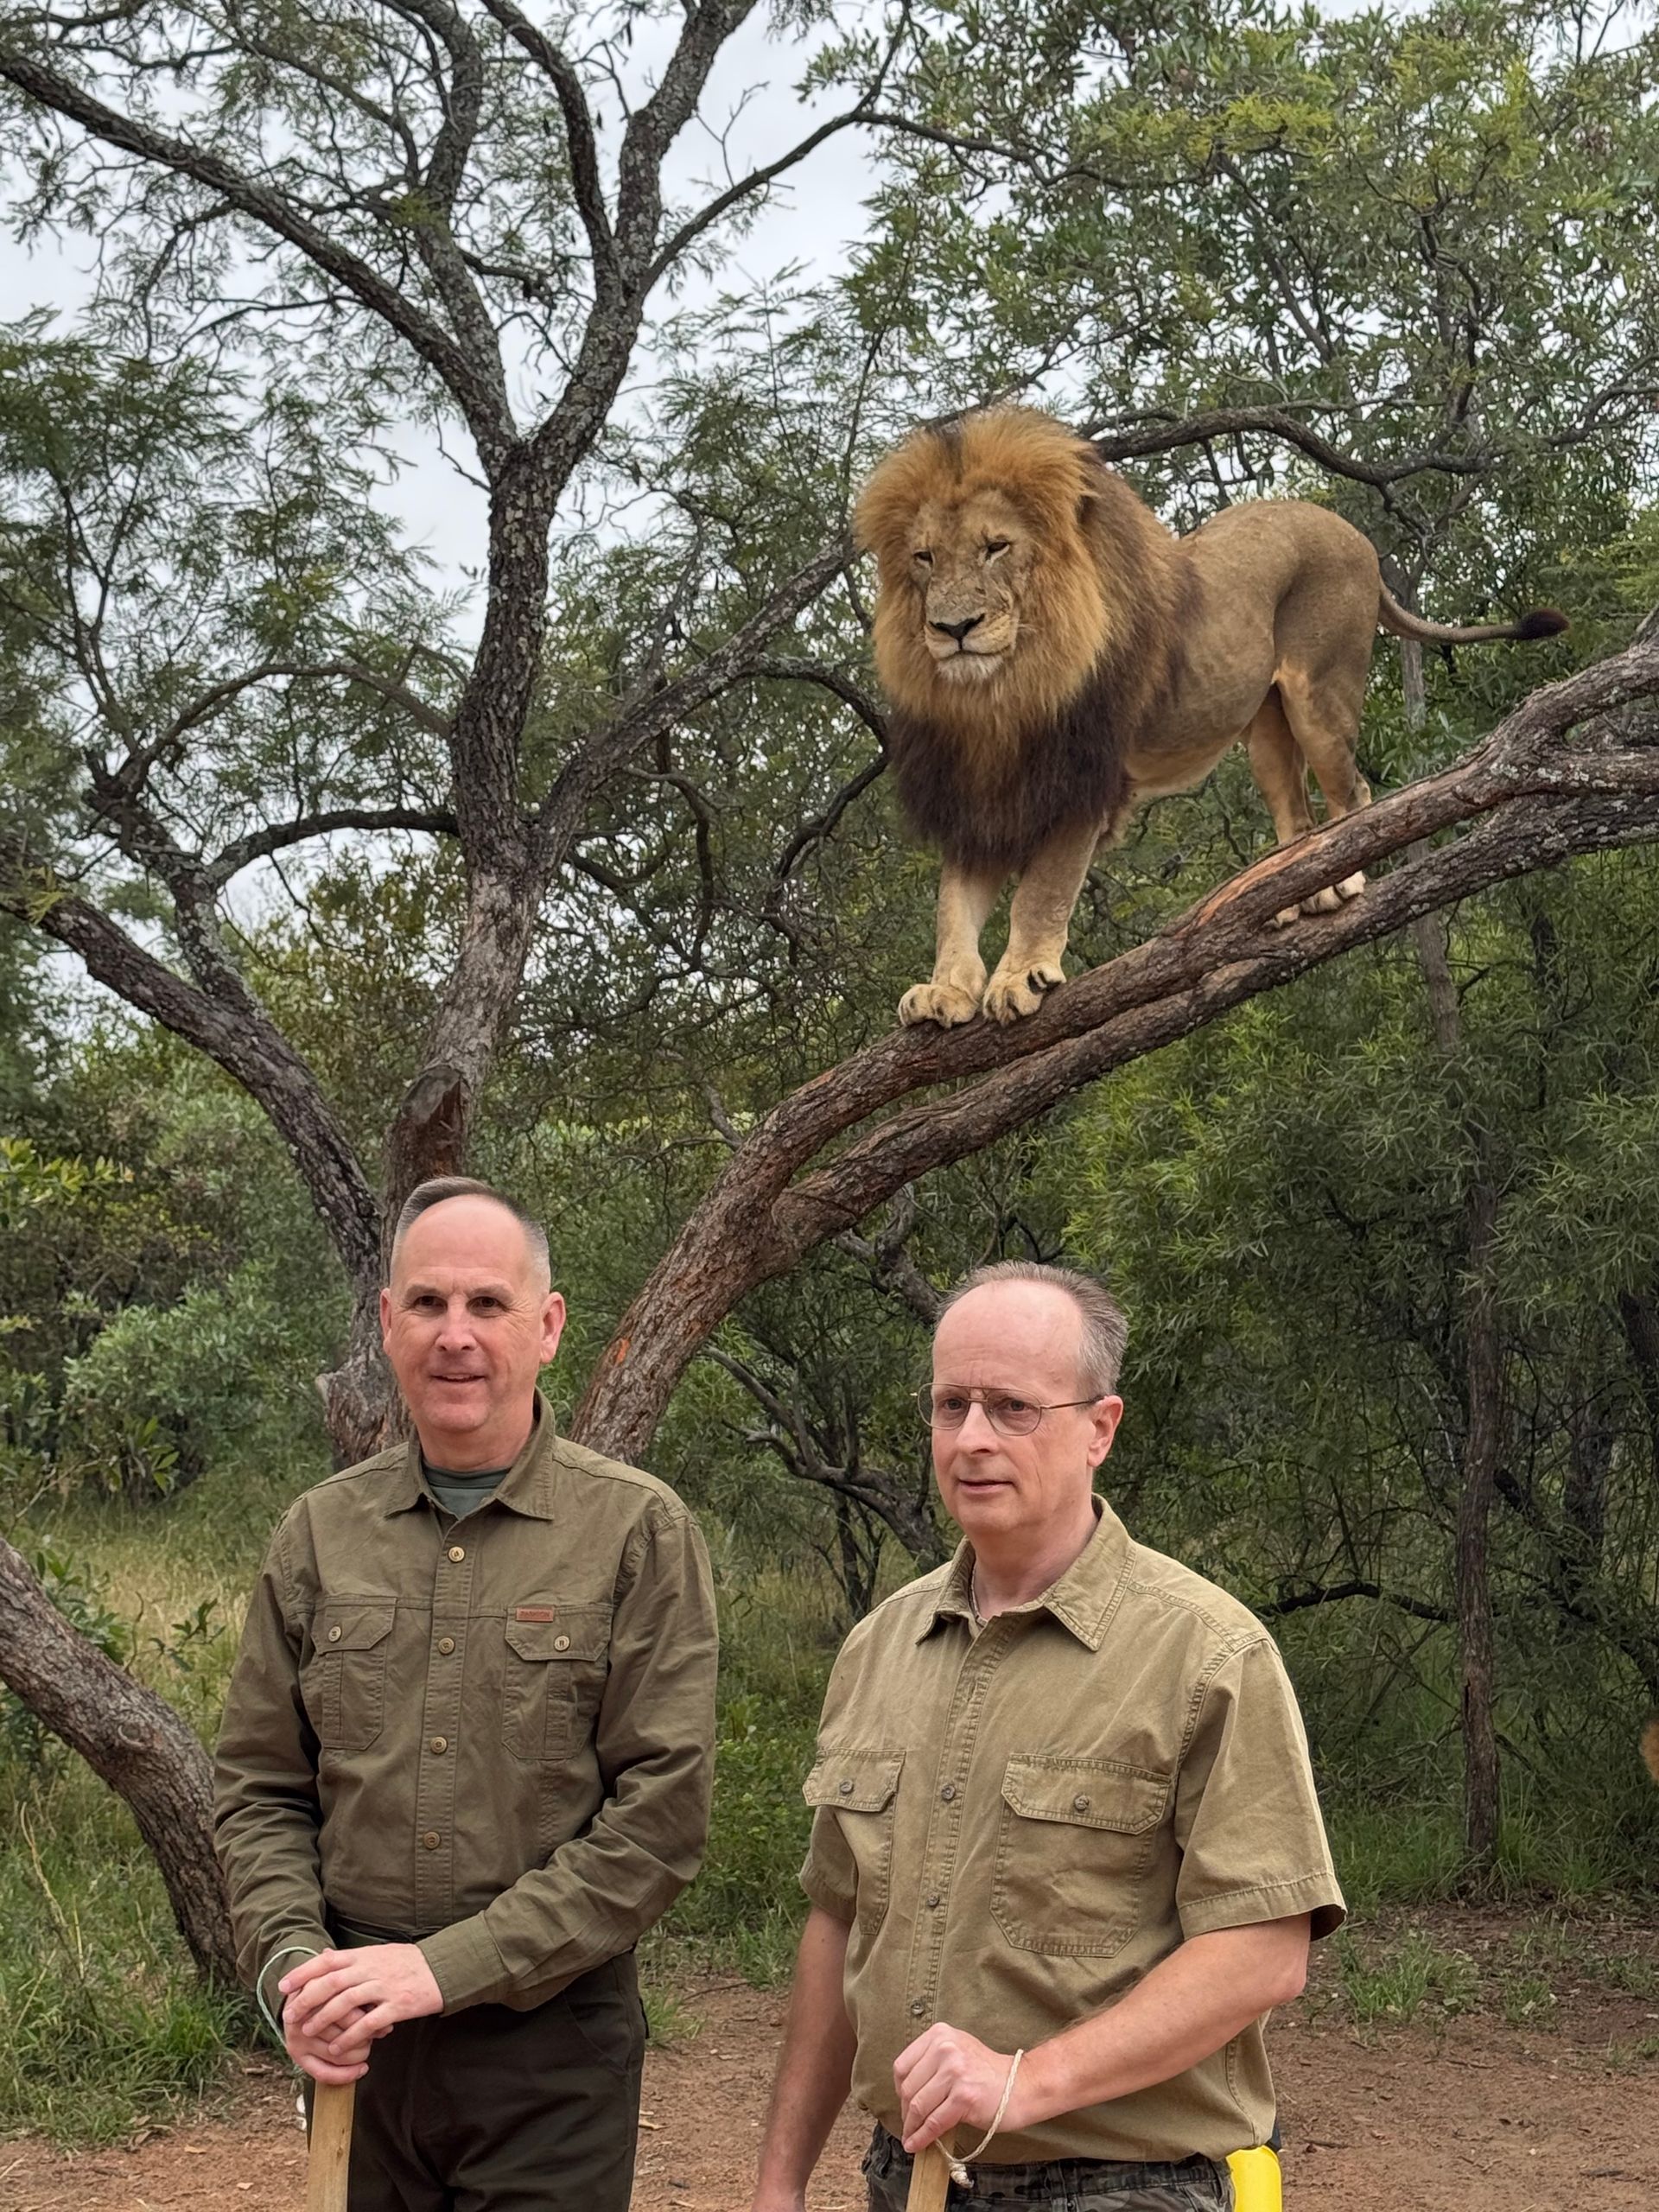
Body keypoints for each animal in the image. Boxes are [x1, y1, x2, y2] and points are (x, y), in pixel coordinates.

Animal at [854, 407, 1567, 1026]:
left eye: (996, 547)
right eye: (924, 557)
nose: (954, 628)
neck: (996, 697)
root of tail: (1348, 529)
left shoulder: (1083, 787)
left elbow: (1041, 894)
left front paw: (1020, 976)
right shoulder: (976, 798)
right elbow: (953, 908)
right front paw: (946, 991)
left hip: (1320, 693)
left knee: (1354, 799)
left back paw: (1342, 880)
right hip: (1266, 732)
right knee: (1296, 818)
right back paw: (1293, 898)